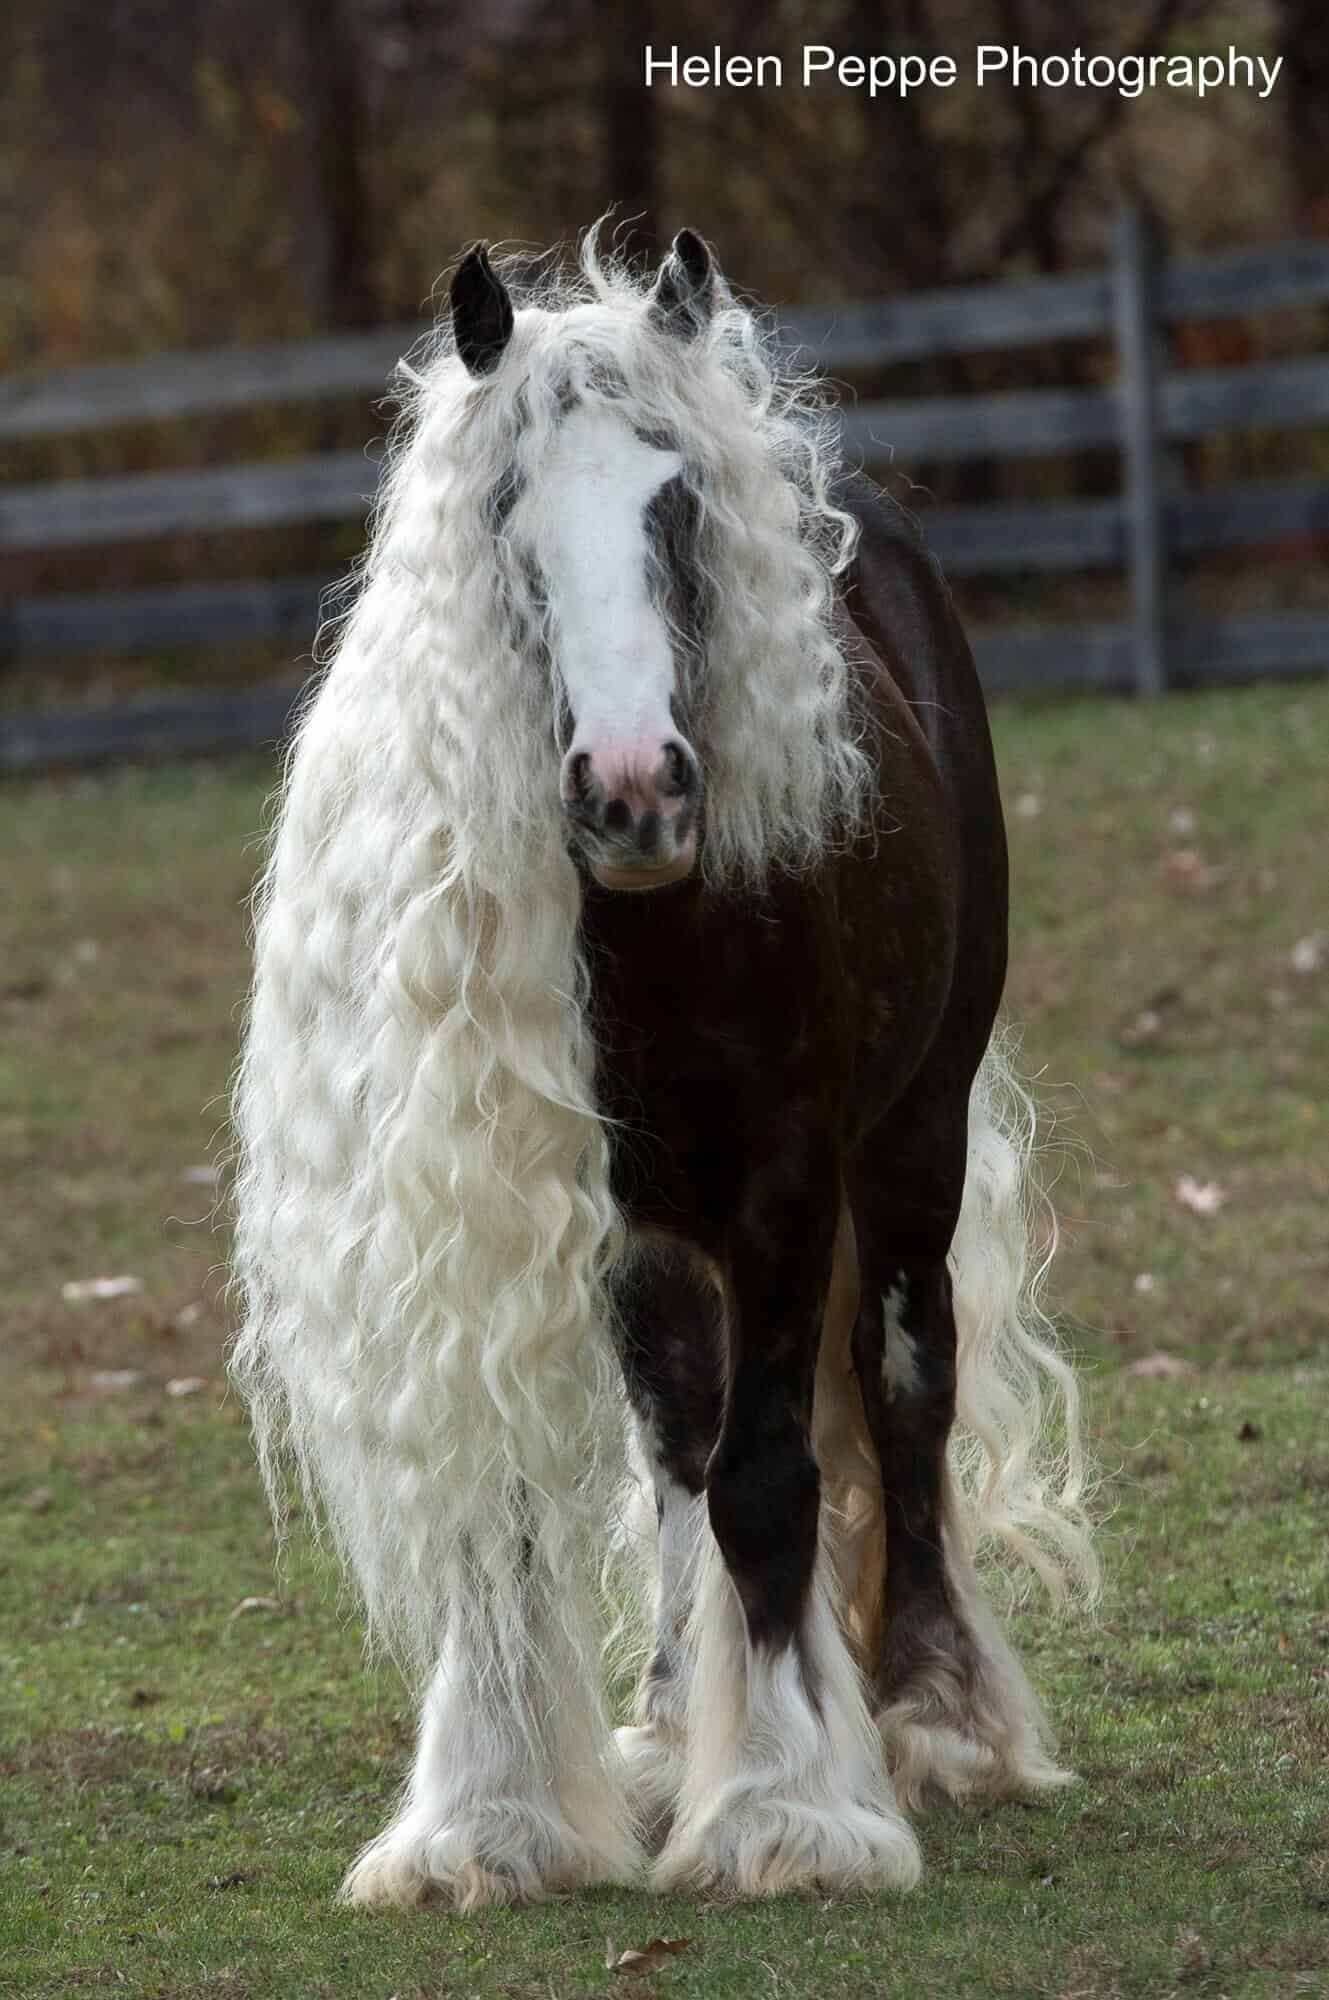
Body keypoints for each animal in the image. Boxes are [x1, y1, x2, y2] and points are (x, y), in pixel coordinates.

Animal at [231, 227, 1096, 1912]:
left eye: (676, 501)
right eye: (510, 514)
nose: (633, 794)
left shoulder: (783, 1186)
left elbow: (772, 1471)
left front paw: (787, 1808)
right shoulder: (574, 1210)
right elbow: (547, 1492)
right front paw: (494, 1819)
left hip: (908, 1146)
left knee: (901, 1390)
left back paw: (932, 1719)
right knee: (679, 1451)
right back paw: (668, 1720)